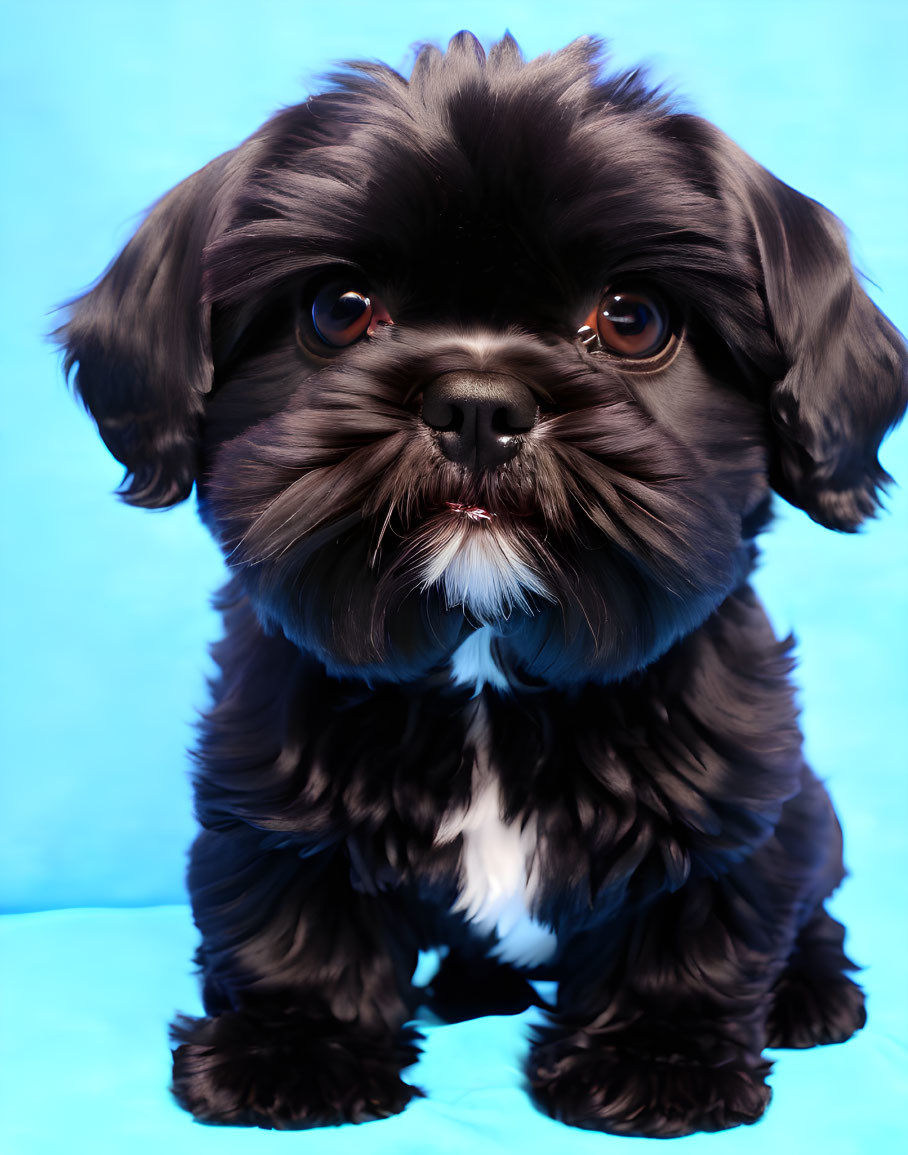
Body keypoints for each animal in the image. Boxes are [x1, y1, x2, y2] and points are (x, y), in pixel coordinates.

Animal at [60, 33, 901, 1136]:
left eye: (632, 319)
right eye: (339, 310)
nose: (475, 403)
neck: (486, 672)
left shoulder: (737, 795)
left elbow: (695, 920)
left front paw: (657, 1060)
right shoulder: (266, 779)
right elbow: (291, 908)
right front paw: (293, 1049)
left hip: (813, 813)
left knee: (812, 909)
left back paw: (811, 993)